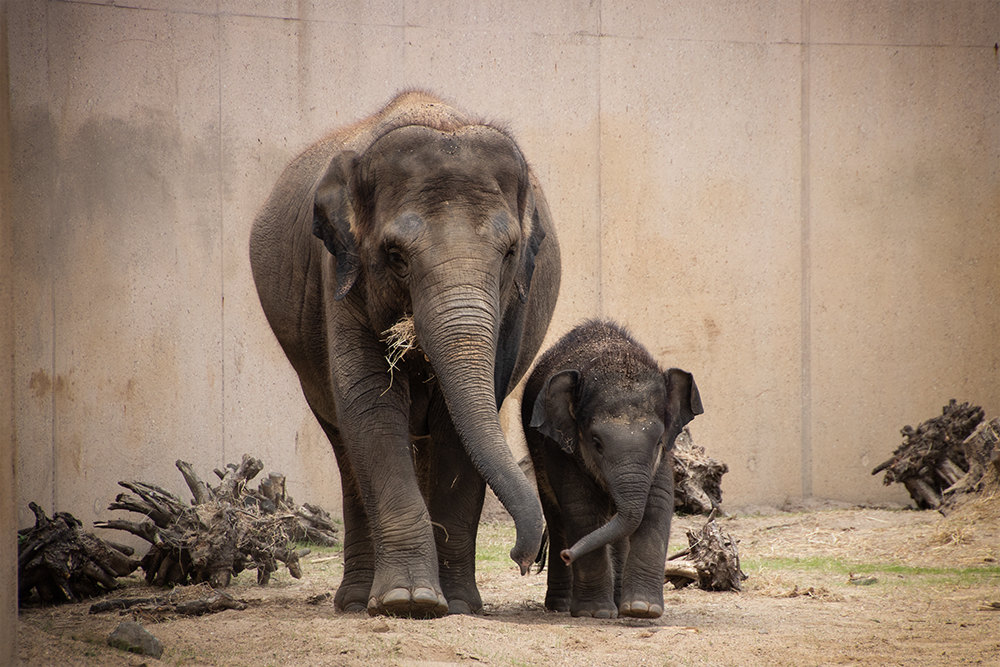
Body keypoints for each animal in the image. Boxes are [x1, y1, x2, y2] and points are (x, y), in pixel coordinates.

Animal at [249, 91, 560, 620]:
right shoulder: (340, 275)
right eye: (395, 256)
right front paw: (407, 602)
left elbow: (458, 425)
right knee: (346, 448)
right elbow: (371, 404)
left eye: (509, 252)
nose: (525, 558)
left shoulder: (514, 306)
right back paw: (357, 601)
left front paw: (456, 606)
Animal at [524, 320, 704, 620]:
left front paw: (643, 609)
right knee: (558, 517)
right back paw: (561, 605)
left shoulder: (664, 457)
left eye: (658, 440)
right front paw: (595, 612)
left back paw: (620, 604)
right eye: (596, 442)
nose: (567, 555)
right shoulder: (559, 448)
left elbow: (657, 505)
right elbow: (581, 508)